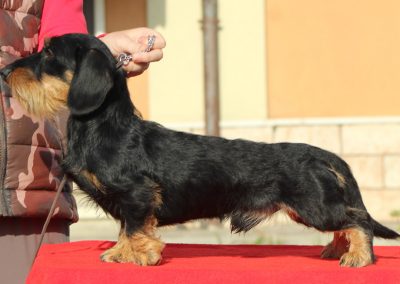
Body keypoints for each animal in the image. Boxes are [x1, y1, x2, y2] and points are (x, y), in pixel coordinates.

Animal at [1, 33, 398, 266]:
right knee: (348, 222)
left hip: (315, 207)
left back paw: (358, 256)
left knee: (358, 220)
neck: (104, 128)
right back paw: (338, 249)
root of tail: (322, 154)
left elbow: (134, 227)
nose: (5, 72)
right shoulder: (128, 202)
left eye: (48, 53)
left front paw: (137, 254)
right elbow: (124, 228)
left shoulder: (136, 195)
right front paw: (122, 251)